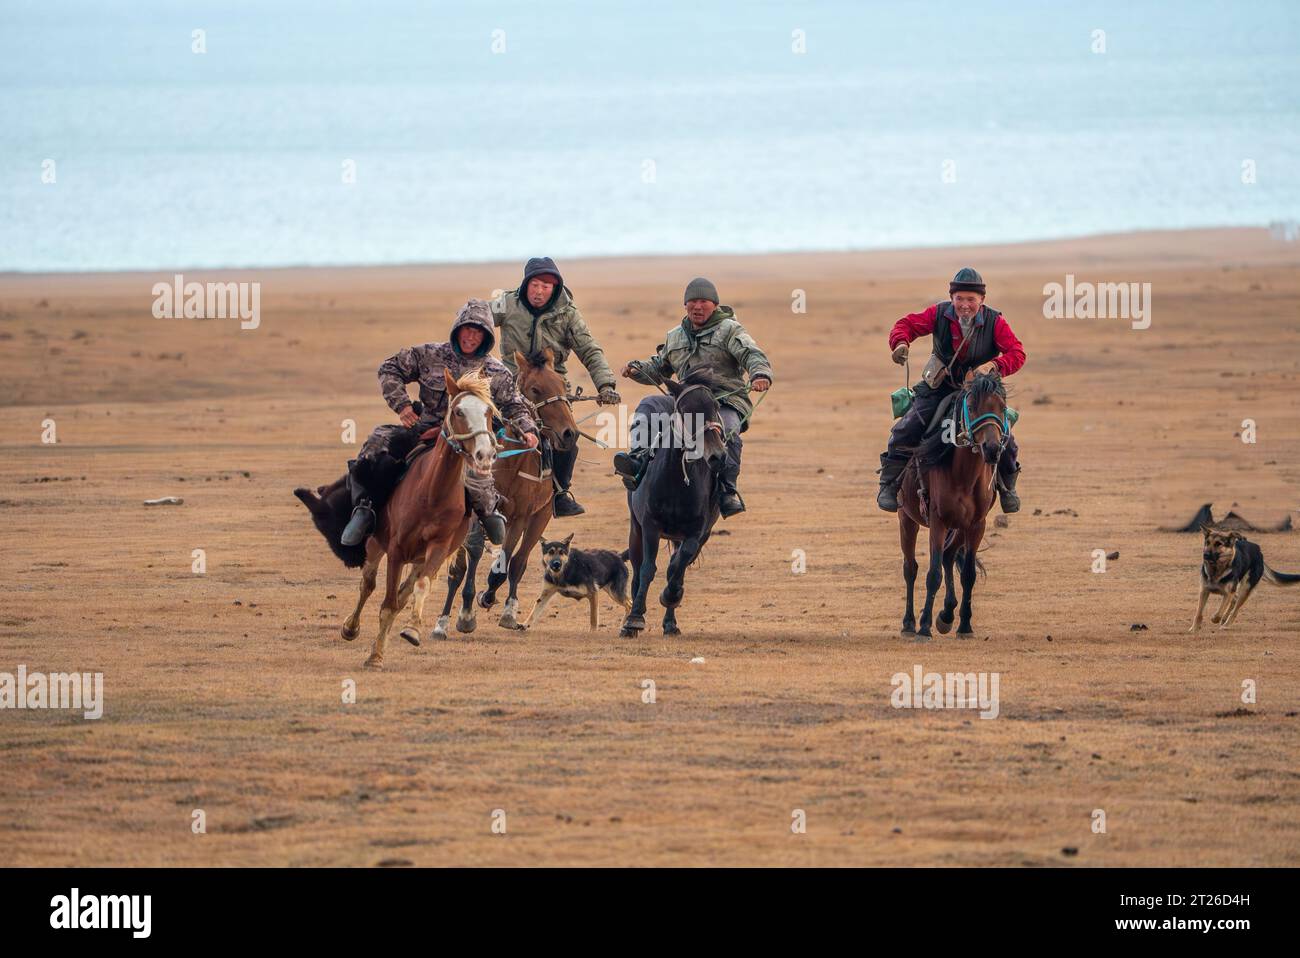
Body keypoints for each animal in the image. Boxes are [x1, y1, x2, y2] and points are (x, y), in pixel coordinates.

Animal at [343, 369, 499, 670]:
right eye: (459, 411)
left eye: (489, 411)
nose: (485, 454)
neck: (432, 493)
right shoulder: (396, 550)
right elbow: (386, 603)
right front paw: (375, 657)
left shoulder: (438, 548)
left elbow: (420, 587)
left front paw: (412, 630)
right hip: (376, 544)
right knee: (367, 584)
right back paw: (350, 627)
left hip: (418, 558)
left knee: (406, 590)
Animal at [431, 348, 579, 634]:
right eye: (535, 389)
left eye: (562, 384)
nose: (570, 434)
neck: (509, 461)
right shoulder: (478, 515)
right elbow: (463, 565)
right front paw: (457, 616)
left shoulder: (521, 516)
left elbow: (506, 565)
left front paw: (489, 600)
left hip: (541, 516)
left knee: (519, 561)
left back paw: (507, 607)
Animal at [618, 369, 733, 639]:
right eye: (687, 410)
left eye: (715, 407)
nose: (718, 456)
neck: (675, 480)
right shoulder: (650, 526)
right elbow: (648, 569)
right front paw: (635, 618)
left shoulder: (696, 533)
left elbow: (676, 568)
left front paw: (671, 597)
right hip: (636, 530)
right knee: (637, 570)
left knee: (677, 565)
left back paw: (670, 622)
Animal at [899, 369, 1008, 639]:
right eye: (971, 406)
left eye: (1002, 407)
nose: (992, 449)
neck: (964, 474)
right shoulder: (938, 522)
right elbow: (933, 574)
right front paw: (924, 627)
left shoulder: (977, 524)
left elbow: (968, 574)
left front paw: (964, 625)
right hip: (907, 518)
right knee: (911, 568)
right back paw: (909, 623)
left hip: (959, 526)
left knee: (949, 556)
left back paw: (947, 615)